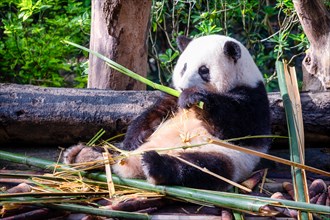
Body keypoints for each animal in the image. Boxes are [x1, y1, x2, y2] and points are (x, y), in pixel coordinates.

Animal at [63, 34, 270, 191]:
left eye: (204, 70)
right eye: (184, 67)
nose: (184, 87)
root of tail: (131, 166)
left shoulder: (254, 99)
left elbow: (233, 128)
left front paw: (195, 97)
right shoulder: (171, 99)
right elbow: (153, 113)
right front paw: (134, 136)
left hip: (227, 158)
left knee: (200, 167)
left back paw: (154, 165)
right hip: (126, 151)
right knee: (115, 150)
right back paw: (84, 154)